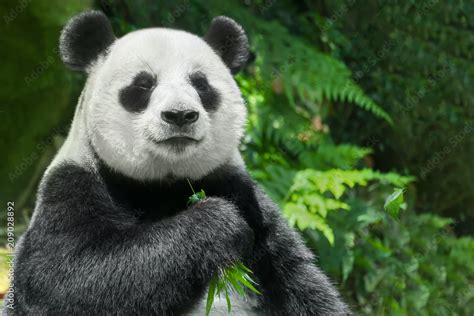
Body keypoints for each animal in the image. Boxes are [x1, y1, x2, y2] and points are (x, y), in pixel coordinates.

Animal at [6, 10, 348, 316]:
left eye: (200, 84)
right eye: (143, 84)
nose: (180, 115)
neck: (163, 184)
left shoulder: (244, 196)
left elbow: (303, 284)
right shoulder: (72, 185)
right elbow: (70, 278)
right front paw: (216, 223)